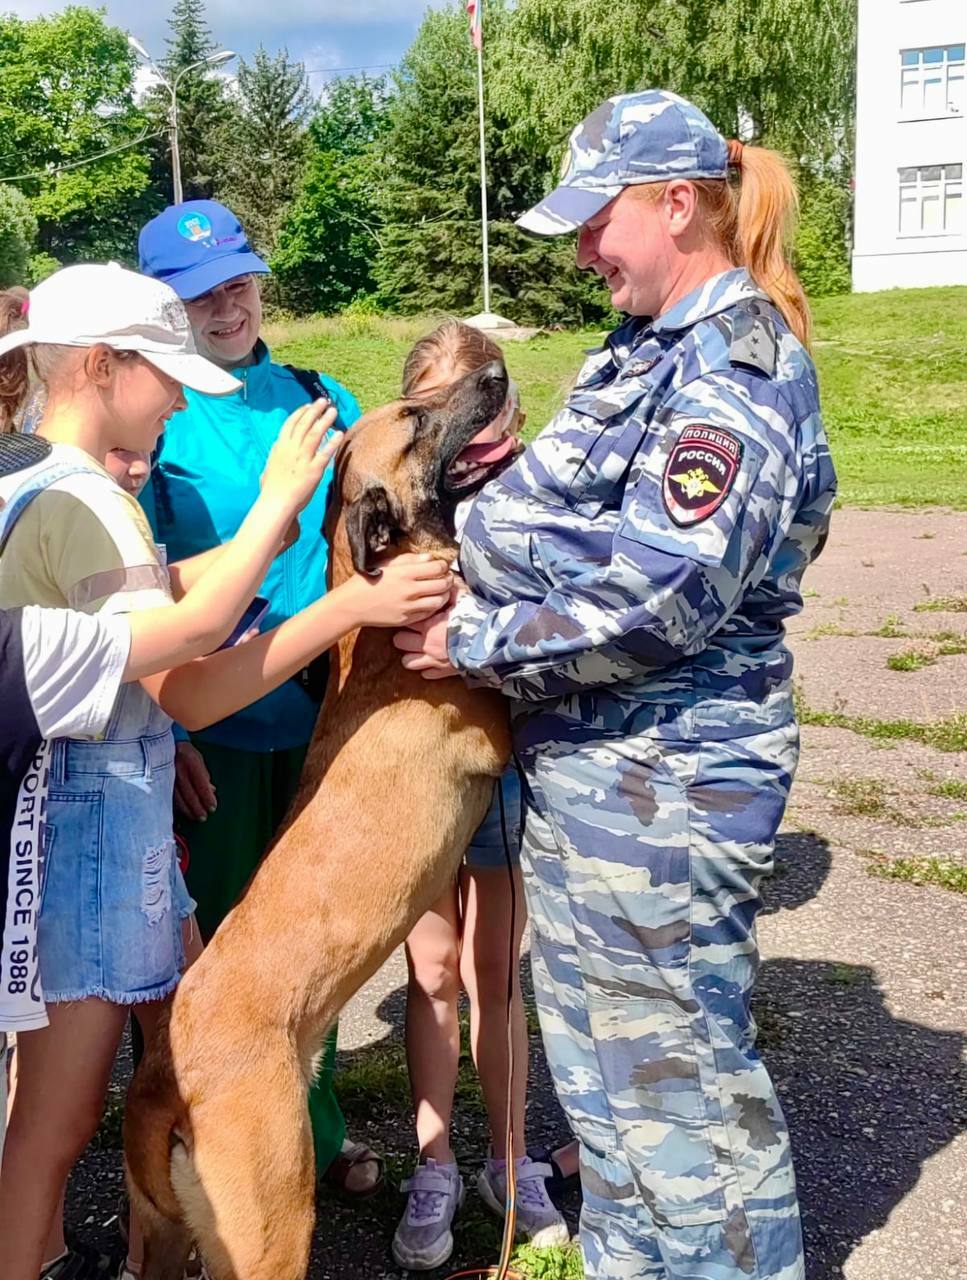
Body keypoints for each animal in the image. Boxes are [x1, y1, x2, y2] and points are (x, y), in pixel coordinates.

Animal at [125, 360, 517, 1280]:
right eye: (413, 416)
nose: (493, 370)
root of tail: (158, 1085)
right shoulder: (497, 720)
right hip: (273, 1224)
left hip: (159, 1236)